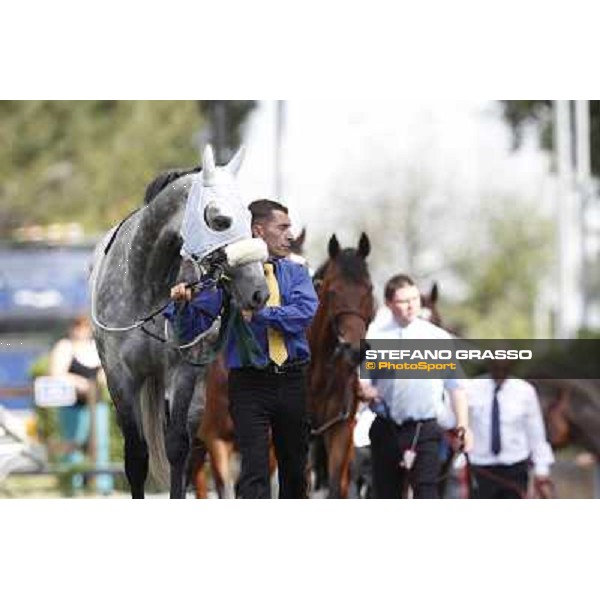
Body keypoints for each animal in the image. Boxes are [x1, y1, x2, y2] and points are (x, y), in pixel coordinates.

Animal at [89, 148, 268, 500]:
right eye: (220, 220)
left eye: (249, 218)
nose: (259, 291)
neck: (145, 285)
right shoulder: (119, 376)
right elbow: (136, 456)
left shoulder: (183, 370)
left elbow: (176, 447)